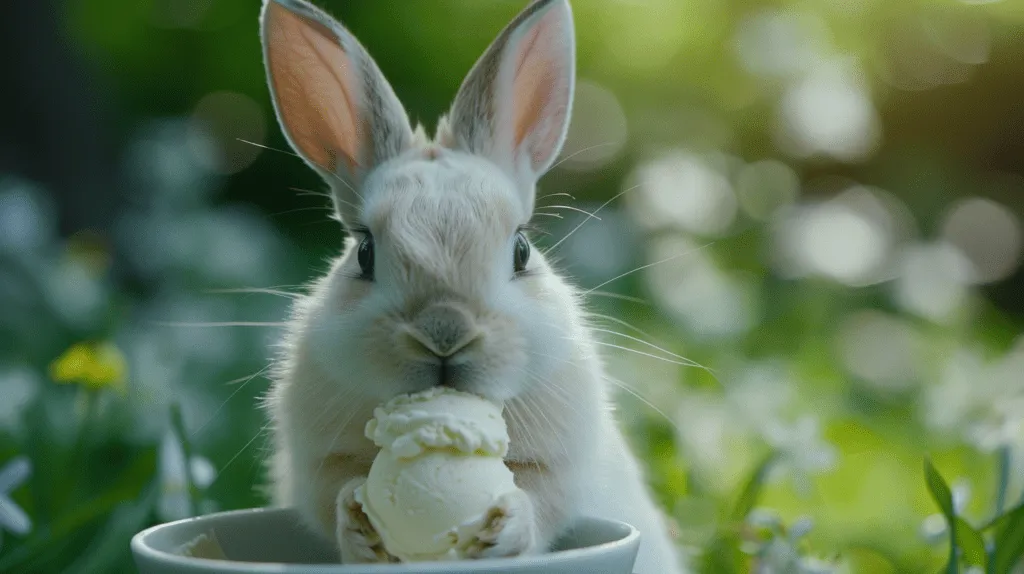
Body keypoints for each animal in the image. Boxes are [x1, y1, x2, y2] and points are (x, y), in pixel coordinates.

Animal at [256, 0, 688, 568]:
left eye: (521, 250)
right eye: (365, 254)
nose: (445, 330)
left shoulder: (563, 464)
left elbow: (541, 499)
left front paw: (505, 529)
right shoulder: (317, 460)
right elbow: (332, 492)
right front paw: (358, 526)